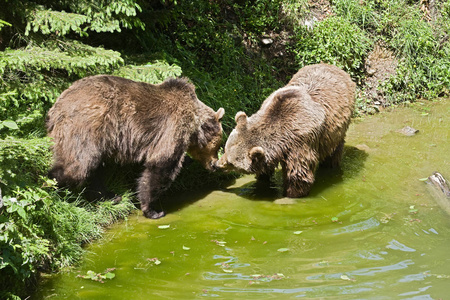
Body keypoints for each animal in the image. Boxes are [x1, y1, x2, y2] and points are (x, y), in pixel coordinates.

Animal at [47, 75, 225, 219]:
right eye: (218, 146)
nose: (215, 165)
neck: (194, 125)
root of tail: (57, 107)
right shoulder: (172, 128)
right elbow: (161, 165)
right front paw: (153, 210)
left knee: (95, 169)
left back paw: (110, 196)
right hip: (87, 127)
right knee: (77, 166)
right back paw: (52, 186)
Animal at [218, 63, 356, 197]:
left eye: (231, 162)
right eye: (225, 149)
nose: (218, 164)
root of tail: (334, 67)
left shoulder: (300, 143)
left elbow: (298, 174)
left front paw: (291, 194)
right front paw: (262, 181)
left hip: (336, 128)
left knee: (334, 148)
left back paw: (330, 165)